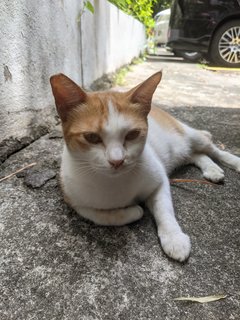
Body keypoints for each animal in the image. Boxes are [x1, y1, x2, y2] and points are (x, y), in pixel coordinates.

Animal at [49, 72, 239, 262]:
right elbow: (99, 215)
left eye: (132, 134)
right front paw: (133, 211)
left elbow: (164, 209)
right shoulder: (73, 200)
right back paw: (212, 170)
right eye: (92, 137)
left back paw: (233, 161)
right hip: (181, 150)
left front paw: (174, 238)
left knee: (210, 148)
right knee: (197, 155)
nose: (117, 161)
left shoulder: (159, 180)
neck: (113, 183)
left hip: (189, 136)